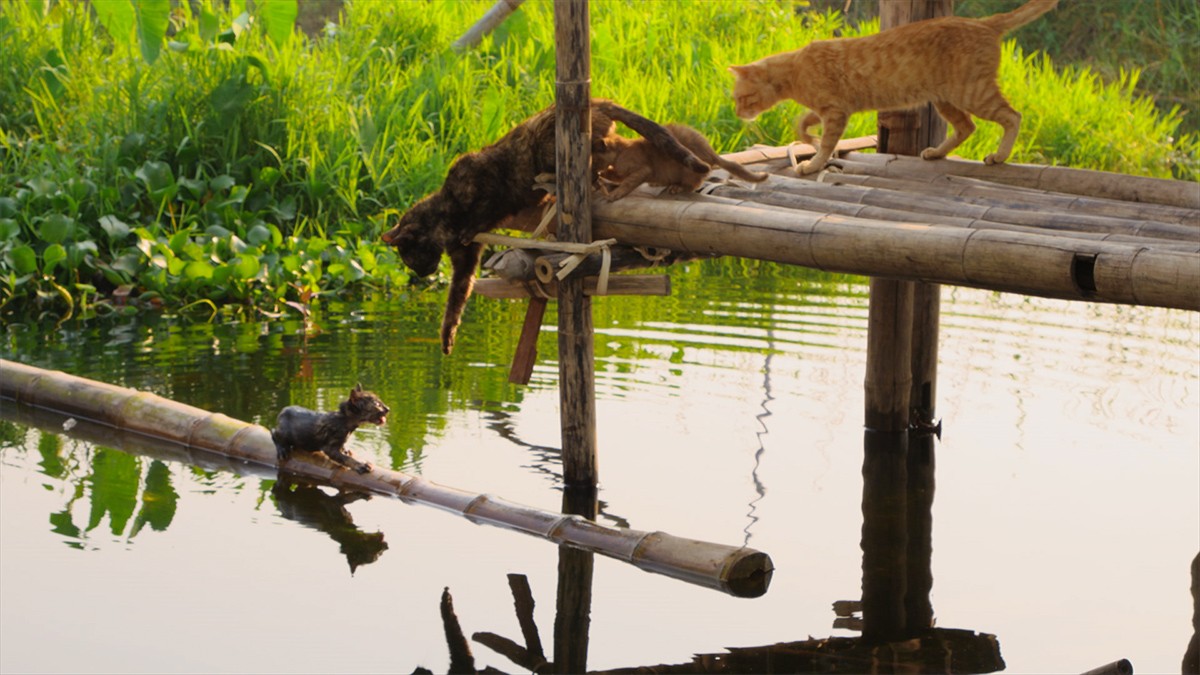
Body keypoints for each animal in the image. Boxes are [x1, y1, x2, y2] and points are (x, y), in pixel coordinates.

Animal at [379, 99, 705, 355]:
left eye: (409, 257)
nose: (423, 273)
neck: (446, 218)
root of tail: (598, 100)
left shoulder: (486, 188)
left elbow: (484, 212)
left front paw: (471, 226)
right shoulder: (465, 261)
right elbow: (456, 301)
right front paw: (447, 337)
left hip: (554, 147)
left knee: (602, 157)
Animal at [729, 0, 1060, 172]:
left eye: (741, 98)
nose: (738, 113)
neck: (795, 69)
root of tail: (984, 22)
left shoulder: (836, 112)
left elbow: (826, 144)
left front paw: (812, 163)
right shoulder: (828, 110)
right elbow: (802, 124)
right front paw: (808, 140)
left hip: (973, 93)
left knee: (1012, 116)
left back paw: (999, 156)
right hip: (946, 100)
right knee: (967, 127)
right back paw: (936, 153)